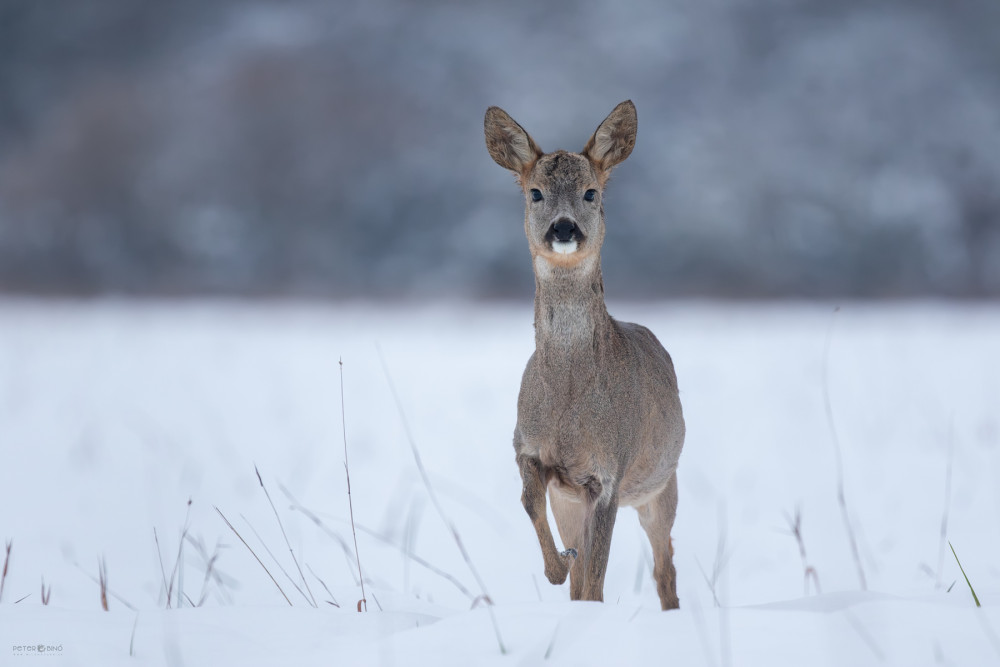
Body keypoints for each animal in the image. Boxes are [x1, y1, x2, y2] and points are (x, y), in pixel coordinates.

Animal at [486, 100, 688, 612]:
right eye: (535, 192)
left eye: (591, 192)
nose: (563, 227)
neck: (567, 395)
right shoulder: (528, 448)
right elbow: (531, 507)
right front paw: (556, 567)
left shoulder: (609, 472)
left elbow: (596, 580)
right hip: (576, 499)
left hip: (663, 485)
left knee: (665, 569)